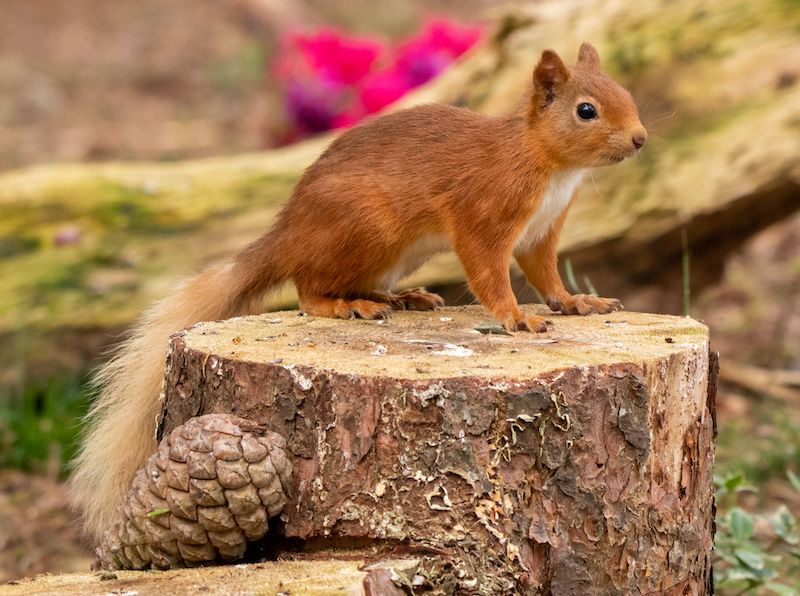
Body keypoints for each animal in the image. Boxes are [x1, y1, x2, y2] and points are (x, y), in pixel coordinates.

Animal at [73, 42, 646, 541]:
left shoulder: (541, 234)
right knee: (306, 289)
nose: (641, 139)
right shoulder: (483, 216)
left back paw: (401, 298)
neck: (550, 165)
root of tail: (288, 233)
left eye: (625, 91)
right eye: (586, 110)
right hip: (365, 229)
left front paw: (578, 302)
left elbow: (548, 278)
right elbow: (487, 271)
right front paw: (515, 317)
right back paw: (346, 304)